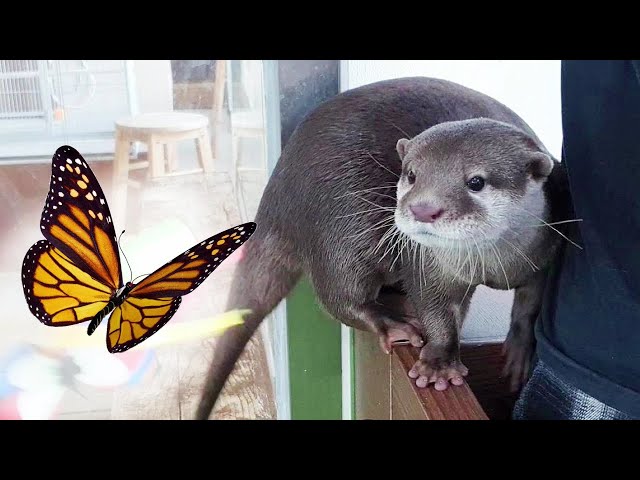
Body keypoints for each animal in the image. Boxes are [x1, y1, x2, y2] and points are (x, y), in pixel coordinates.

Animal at [195, 77, 576, 418]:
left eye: (476, 181)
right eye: (411, 174)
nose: (423, 208)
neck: (494, 265)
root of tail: (275, 200)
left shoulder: (544, 256)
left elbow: (531, 305)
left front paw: (520, 351)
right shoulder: (427, 264)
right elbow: (434, 308)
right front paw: (439, 362)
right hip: (338, 223)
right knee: (340, 293)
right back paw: (392, 322)